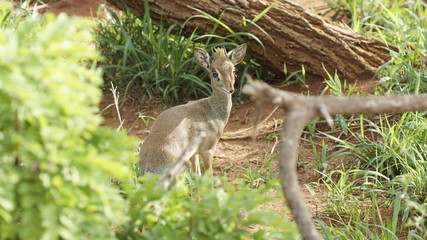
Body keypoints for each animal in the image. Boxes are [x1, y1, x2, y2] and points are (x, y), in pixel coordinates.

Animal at [139, 43, 247, 175]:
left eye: (234, 70)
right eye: (214, 73)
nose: (230, 89)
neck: (211, 109)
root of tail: (148, 168)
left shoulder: (194, 154)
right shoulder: (208, 150)